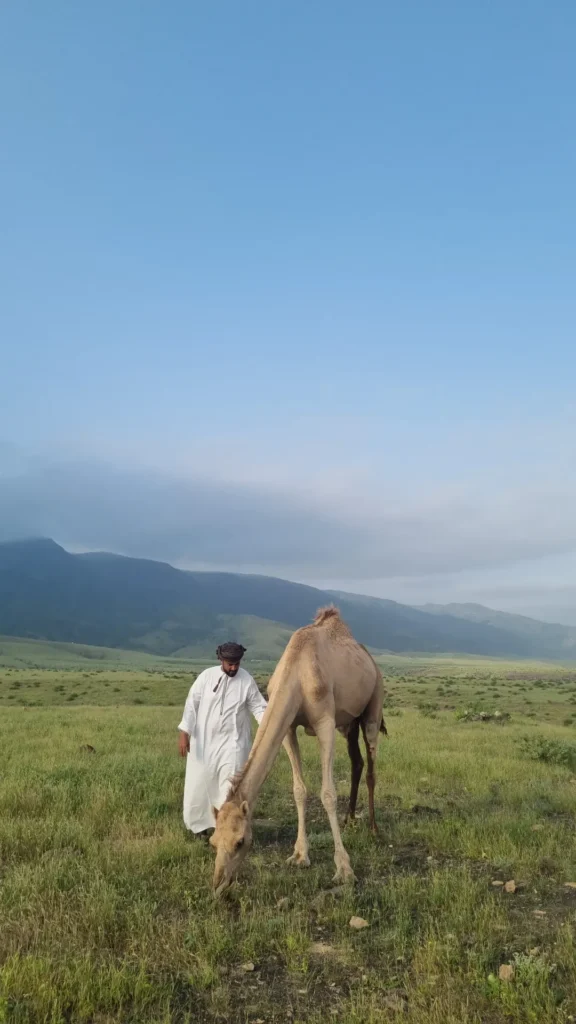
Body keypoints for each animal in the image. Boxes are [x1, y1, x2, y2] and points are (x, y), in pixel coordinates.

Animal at [210, 606, 385, 894]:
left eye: (240, 841)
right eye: (213, 841)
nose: (219, 883)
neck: (297, 674)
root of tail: (371, 660)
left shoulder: (325, 722)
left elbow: (327, 793)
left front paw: (344, 869)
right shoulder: (290, 727)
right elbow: (299, 791)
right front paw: (300, 855)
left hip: (373, 706)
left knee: (371, 765)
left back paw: (373, 828)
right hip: (349, 722)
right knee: (356, 762)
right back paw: (349, 820)